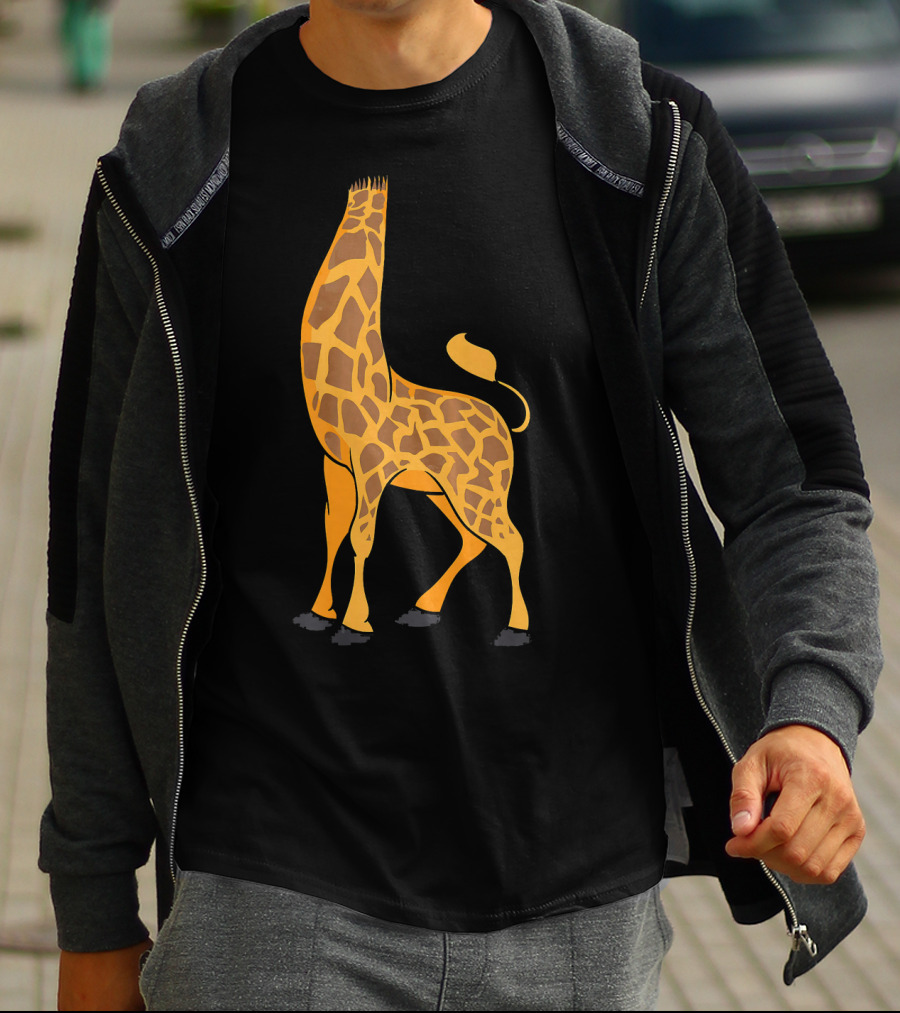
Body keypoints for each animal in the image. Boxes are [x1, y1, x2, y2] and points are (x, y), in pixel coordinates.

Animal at [294, 178, 530, 647]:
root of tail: (505, 425)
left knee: (511, 540)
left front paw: (354, 623)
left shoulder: (372, 463)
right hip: (442, 491)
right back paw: (423, 608)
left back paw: (515, 628)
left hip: (481, 491)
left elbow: (361, 537)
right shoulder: (336, 461)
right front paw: (318, 612)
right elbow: (333, 528)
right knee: (474, 541)